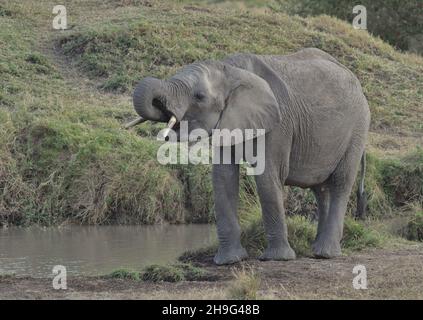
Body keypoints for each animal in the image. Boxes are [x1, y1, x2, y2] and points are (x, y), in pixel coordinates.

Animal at [126, 48, 372, 264]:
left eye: (199, 96)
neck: (231, 70)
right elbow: (223, 178)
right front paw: (228, 261)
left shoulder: (278, 123)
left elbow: (267, 177)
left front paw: (276, 259)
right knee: (321, 190)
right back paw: (317, 250)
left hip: (358, 127)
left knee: (340, 182)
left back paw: (326, 254)